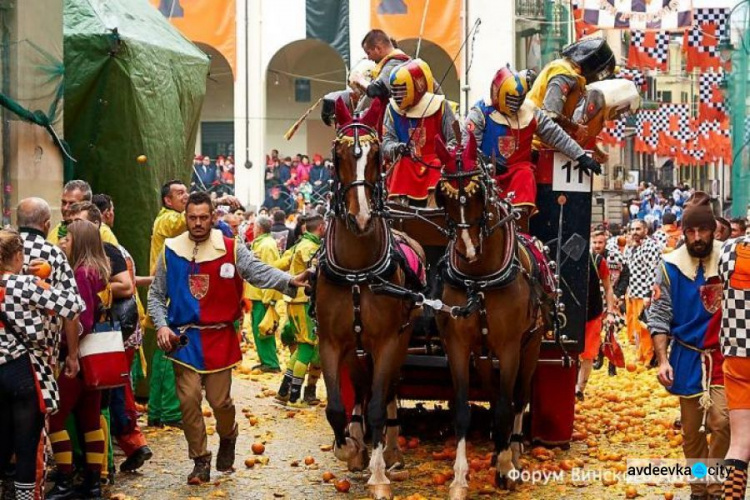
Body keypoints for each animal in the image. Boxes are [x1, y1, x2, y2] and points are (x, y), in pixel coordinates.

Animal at [314, 98, 426, 500]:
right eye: (338, 154)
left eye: (376, 155)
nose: (361, 217)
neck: (357, 272)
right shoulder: (332, 343)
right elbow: (335, 407)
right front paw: (349, 447)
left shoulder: (389, 342)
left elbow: (379, 404)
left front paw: (378, 471)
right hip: (356, 352)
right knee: (361, 390)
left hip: (400, 342)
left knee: (387, 392)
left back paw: (389, 451)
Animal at [434, 133, 548, 500]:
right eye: (443, 196)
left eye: (478, 194)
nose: (467, 249)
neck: (479, 280)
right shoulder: (457, 346)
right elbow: (463, 409)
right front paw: (459, 478)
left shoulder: (511, 347)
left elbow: (506, 405)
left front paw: (505, 468)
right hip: (483, 355)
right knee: (494, 391)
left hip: (533, 345)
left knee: (518, 398)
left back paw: (513, 449)